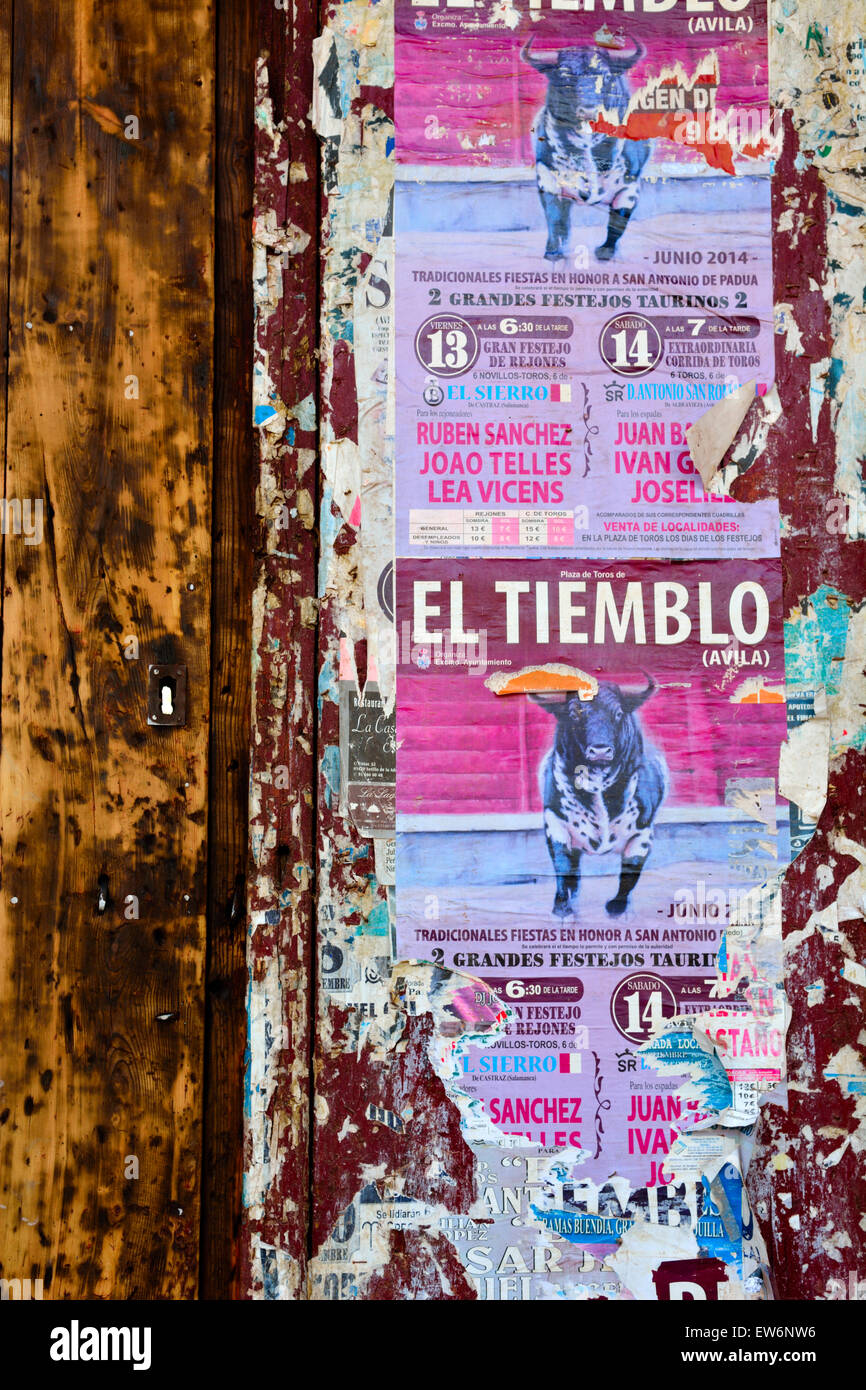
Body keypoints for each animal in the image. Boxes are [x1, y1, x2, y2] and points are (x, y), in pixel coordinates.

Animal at [522, 37, 650, 261]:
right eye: (564, 75)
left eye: (606, 76)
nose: (589, 110)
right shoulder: (548, 179)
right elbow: (556, 219)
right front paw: (553, 252)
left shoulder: (630, 186)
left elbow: (617, 223)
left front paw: (606, 251)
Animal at [530, 678, 667, 917]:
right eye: (574, 713)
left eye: (619, 713)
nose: (600, 751)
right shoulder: (554, 822)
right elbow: (563, 865)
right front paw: (561, 907)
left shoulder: (642, 834)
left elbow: (630, 871)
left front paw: (618, 907)